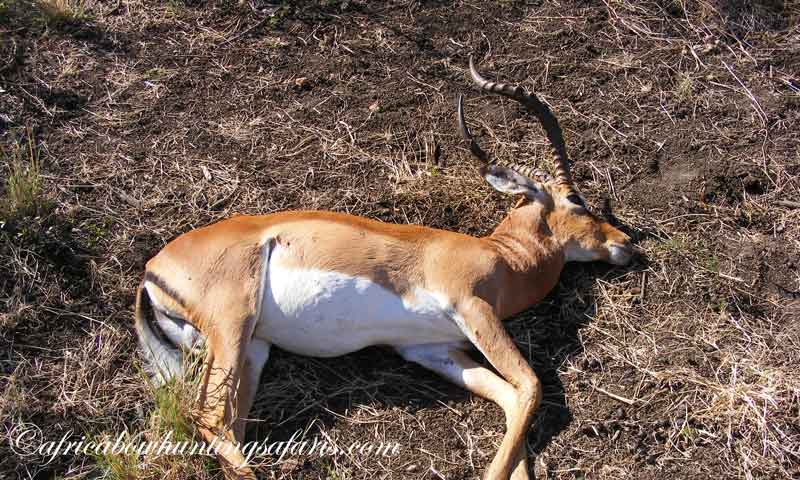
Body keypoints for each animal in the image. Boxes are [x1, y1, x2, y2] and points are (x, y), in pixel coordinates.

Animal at [134, 57, 634, 480]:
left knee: (228, 424)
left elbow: (513, 398)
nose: (625, 243)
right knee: (209, 415)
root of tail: (153, 267)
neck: (503, 257)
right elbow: (531, 386)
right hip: (232, 322)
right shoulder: (472, 307)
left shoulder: (431, 349)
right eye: (577, 201)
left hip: (253, 347)